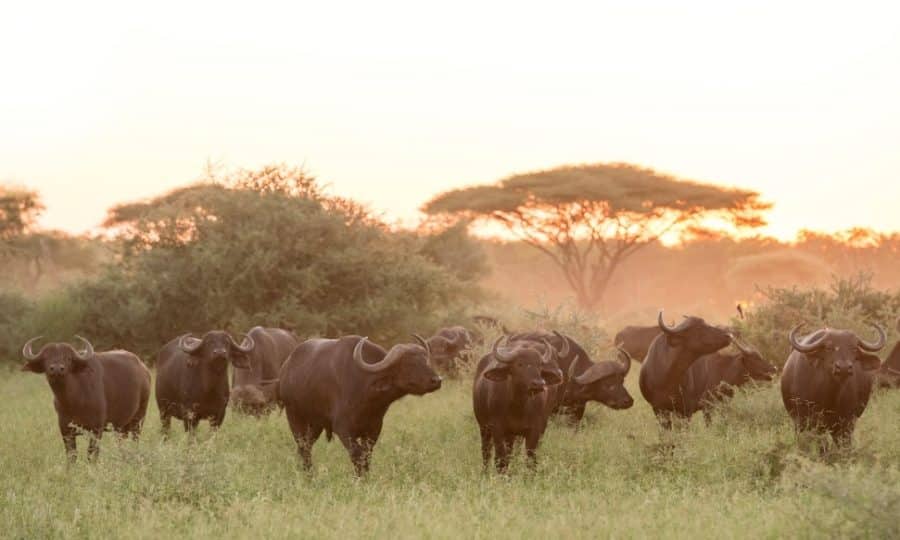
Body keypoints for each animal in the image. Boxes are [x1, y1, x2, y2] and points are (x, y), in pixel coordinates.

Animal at [21, 336, 151, 460]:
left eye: (68, 358)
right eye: (46, 357)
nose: (57, 369)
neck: (73, 401)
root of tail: (144, 370)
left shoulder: (96, 429)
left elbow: (92, 453)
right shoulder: (65, 429)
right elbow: (71, 455)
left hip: (139, 419)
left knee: (134, 441)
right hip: (121, 427)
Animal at [279, 335, 442, 476]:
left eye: (425, 360)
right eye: (409, 363)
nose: (437, 380)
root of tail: (286, 368)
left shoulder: (373, 429)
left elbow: (366, 455)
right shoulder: (343, 429)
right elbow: (357, 454)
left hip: (316, 424)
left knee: (306, 447)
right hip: (294, 416)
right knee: (303, 447)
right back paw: (308, 475)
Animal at [473, 336, 564, 472]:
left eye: (539, 365)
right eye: (520, 364)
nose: (539, 383)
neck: (518, 407)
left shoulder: (534, 430)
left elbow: (531, 459)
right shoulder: (497, 429)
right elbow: (500, 458)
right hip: (484, 427)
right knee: (486, 452)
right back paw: (485, 472)